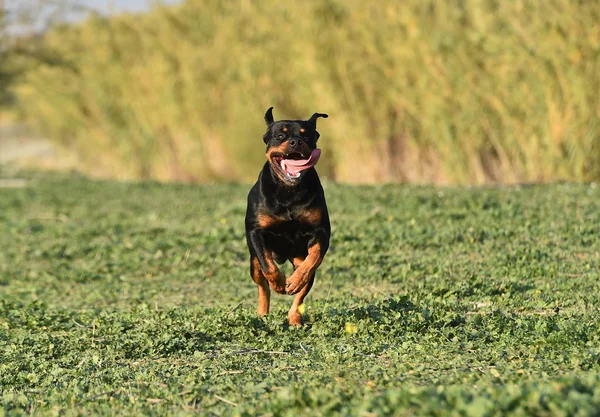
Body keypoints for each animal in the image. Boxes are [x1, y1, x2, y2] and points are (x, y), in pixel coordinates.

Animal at [245, 106, 332, 324]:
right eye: (280, 135)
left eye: (306, 135)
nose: (295, 142)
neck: (289, 191)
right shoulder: (255, 231)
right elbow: (268, 266)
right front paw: (278, 283)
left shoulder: (321, 231)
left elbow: (314, 257)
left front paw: (294, 281)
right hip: (253, 263)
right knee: (262, 285)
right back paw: (263, 312)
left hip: (299, 258)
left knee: (301, 293)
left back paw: (294, 317)